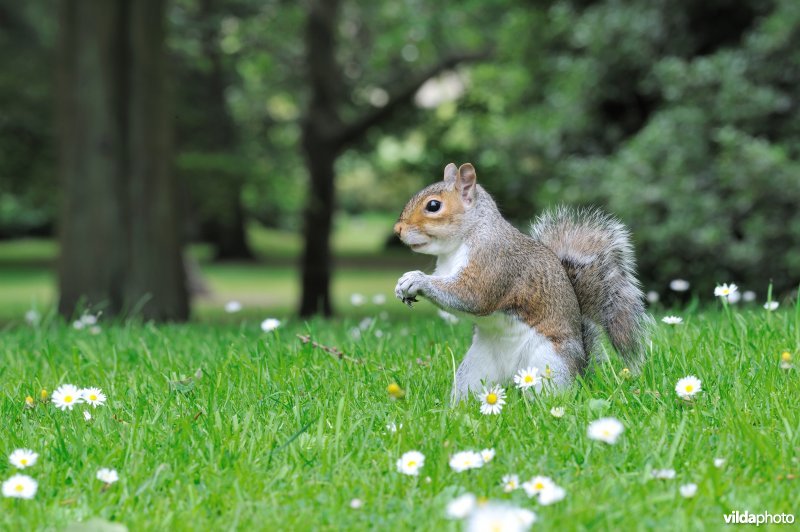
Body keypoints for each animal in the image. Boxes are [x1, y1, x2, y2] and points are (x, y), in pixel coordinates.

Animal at [394, 164, 648, 402]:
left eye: (433, 206)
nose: (397, 230)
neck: (458, 245)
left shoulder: (493, 262)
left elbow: (472, 296)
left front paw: (417, 279)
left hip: (549, 365)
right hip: (475, 369)